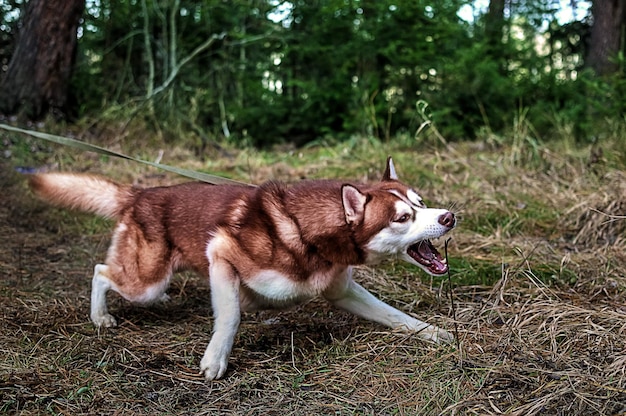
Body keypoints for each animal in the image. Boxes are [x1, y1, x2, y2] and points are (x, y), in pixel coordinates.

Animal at [29, 157, 454, 380]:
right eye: (401, 217)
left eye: (421, 202)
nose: (448, 217)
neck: (308, 231)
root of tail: (140, 193)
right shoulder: (221, 254)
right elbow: (231, 315)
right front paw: (215, 360)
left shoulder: (341, 290)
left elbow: (394, 315)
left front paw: (433, 332)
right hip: (144, 282)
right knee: (101, 270)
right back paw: (100, 316)